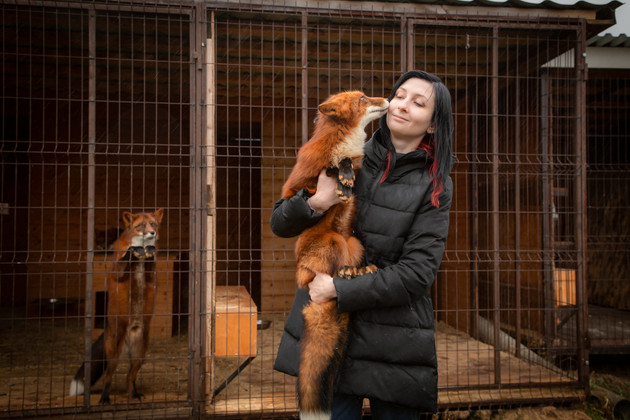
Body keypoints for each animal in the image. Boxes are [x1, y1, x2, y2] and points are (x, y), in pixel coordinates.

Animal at [69, 209, 164, 404]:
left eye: (154, 224)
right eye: (141, 226)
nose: (153, 233)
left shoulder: (151, 274)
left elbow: (150, 260)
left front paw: (149, 249)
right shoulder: (116, 271)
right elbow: (126, 256)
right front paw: (133, 251)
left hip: (139, 355)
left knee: (130, 377)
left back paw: (133, 394)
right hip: (113, 356)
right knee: (108, 378)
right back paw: (104, 399)